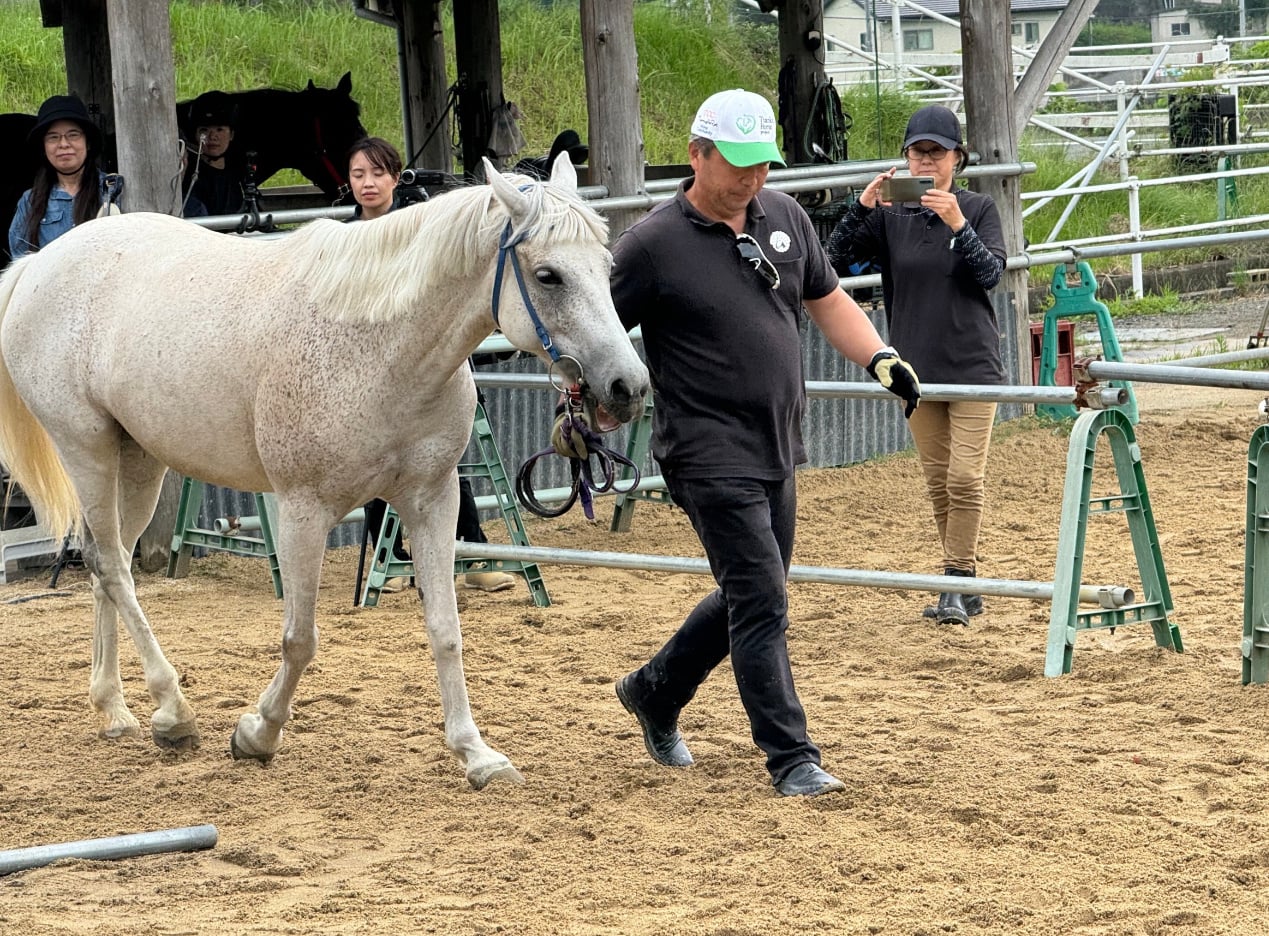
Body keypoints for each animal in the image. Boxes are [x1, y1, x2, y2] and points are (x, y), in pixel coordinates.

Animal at [0, 156, 649, 786]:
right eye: (548, 275)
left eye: (606, 264)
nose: (628, 386)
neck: (378, 346)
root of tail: (37, 266)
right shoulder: (302, 511)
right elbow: (300, 638)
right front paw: (257, 733)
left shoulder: (431, 501)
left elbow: (446, 629)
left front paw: (477, 754)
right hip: (86, 447)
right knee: (111, 564)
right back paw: (174, 711)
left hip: (137, 458)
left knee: (105, 565)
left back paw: (116, 709)